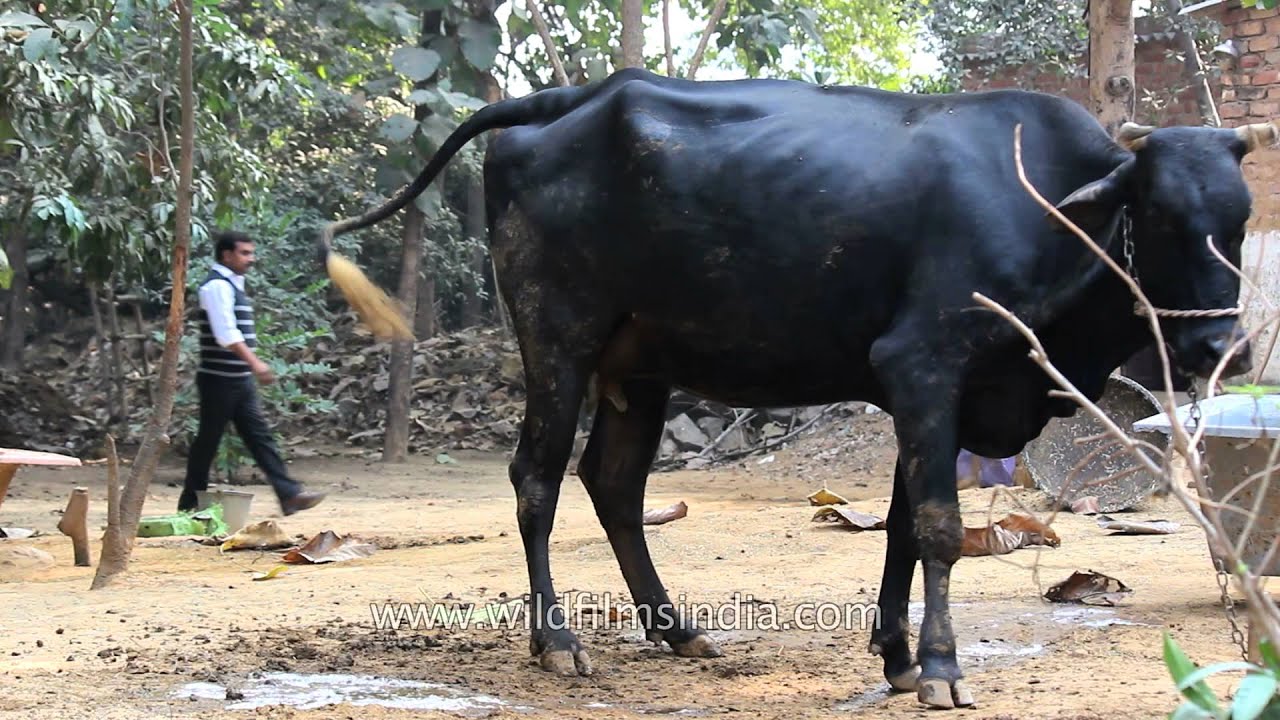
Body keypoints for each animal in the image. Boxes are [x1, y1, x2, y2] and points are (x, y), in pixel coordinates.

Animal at [318, 68, 1274, 709]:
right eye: (1162, 217)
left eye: (1238, 221)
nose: (1220, 345)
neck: (1045, 208)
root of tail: (570, 99)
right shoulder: (924, 364)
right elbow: (939, 527)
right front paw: (940, 669)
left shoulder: (924, 394)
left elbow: (900, 529)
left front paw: (897, 657)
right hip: (558, 339)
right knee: (537, 482)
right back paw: (556, 644)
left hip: (643, 362)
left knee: (614, 485)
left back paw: (679, 631)